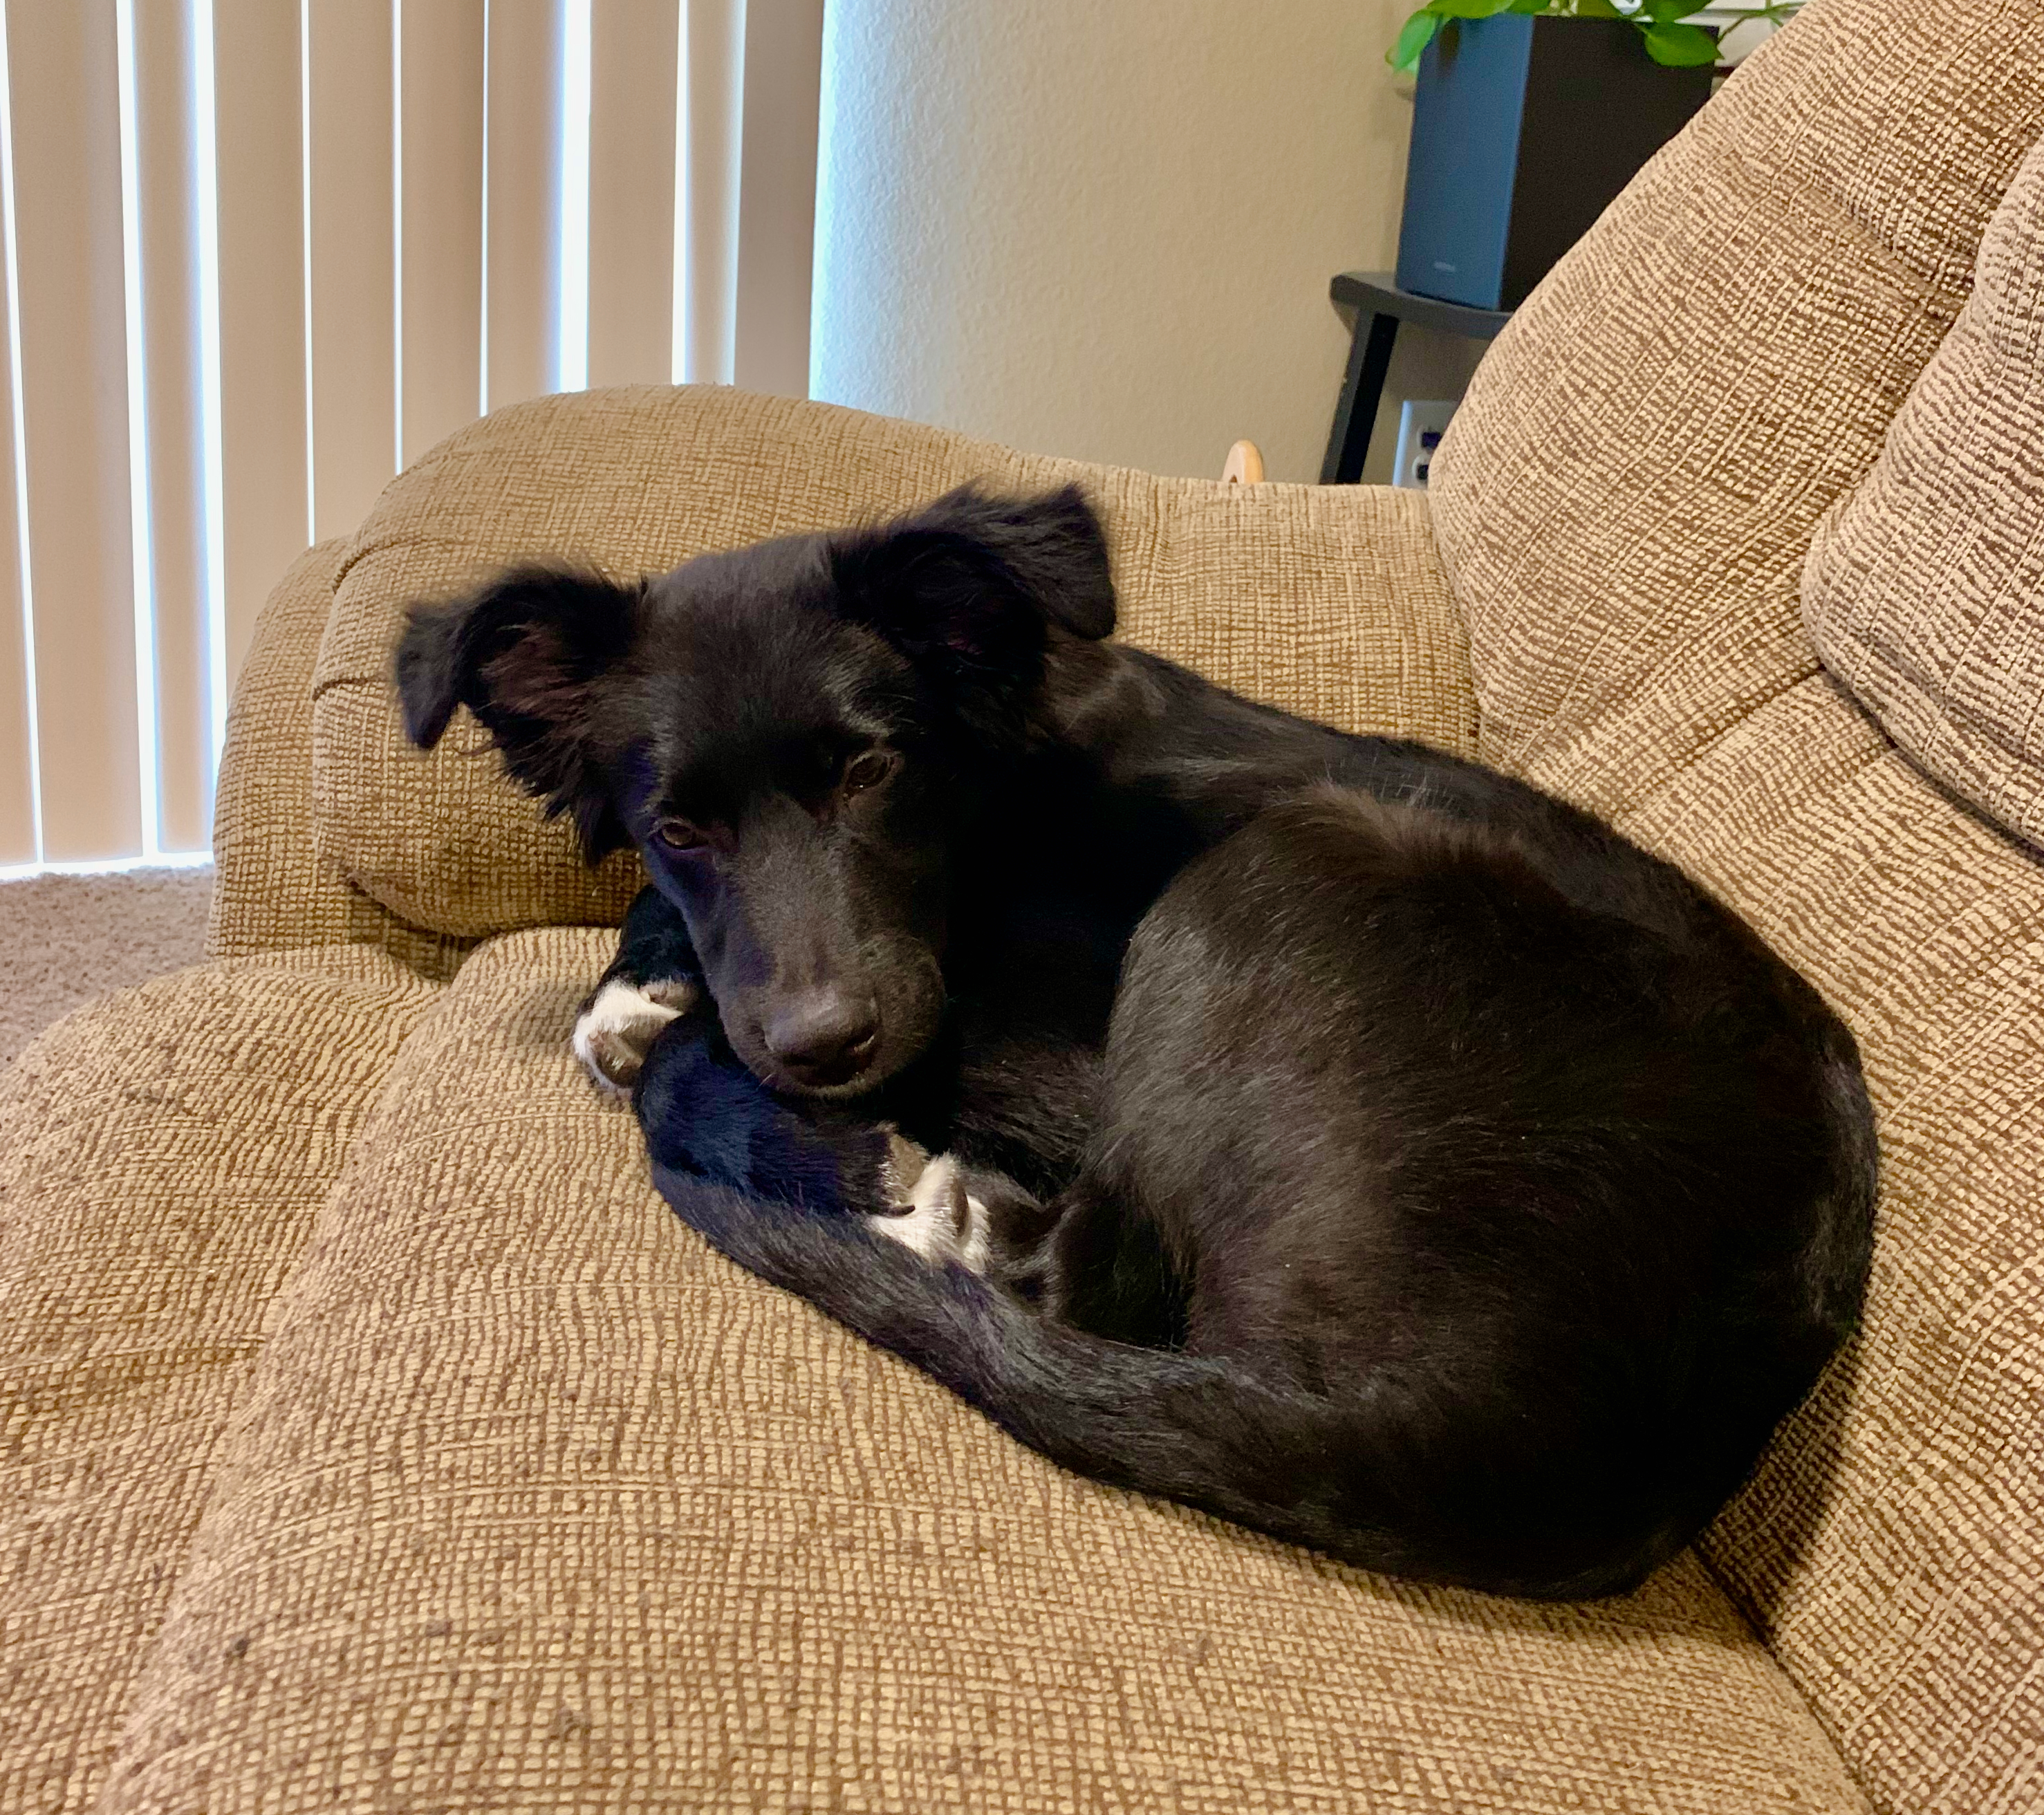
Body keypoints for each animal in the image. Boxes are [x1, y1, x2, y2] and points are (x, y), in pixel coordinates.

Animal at [390, 486, 1872, 1602]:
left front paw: (736, 1086)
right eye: (679, 827)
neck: (996, 792)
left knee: (1076, 1279)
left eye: (872, 774)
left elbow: (694, 1072)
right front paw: (643, 987)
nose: (823, 1050)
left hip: (1280, 872)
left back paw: (932, 1214)